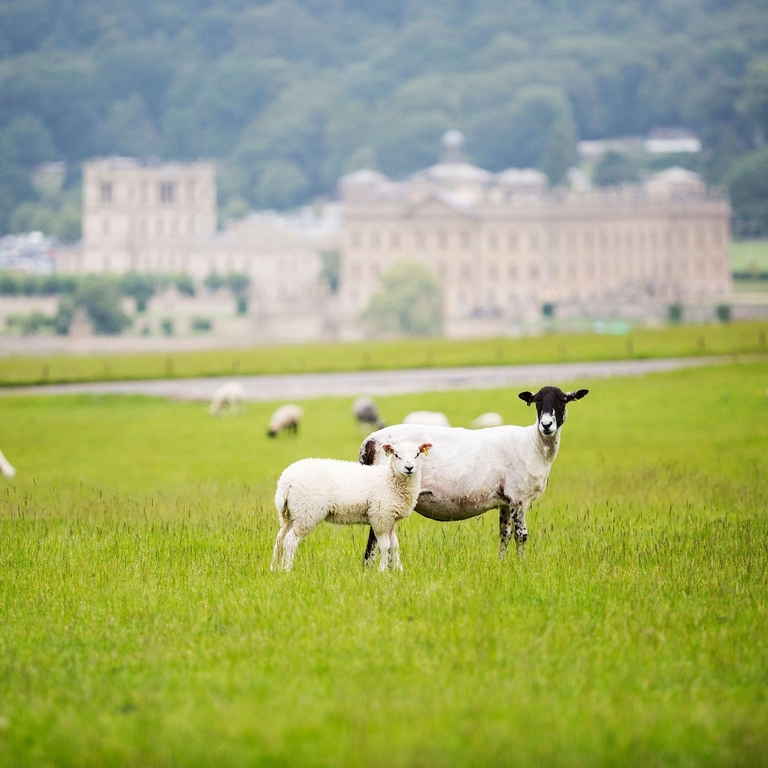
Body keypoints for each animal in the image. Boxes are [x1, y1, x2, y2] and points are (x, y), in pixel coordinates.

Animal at [271, 440, 432, 572]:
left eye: (417, 454)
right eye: (397, 455)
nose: (409, 468)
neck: (389, 478)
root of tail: (286, 480)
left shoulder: (390, 519)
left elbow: (395, 545)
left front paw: (399, 570)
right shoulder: (380, 516)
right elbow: (385, 546)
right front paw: (383, 571)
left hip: (289, 514)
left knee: (280, 538)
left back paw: (275, 568)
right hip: (306, 512)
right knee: (290, 540)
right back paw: (287, 569)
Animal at [359, 386, 589, 561]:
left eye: (563, 401)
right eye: (537, 402)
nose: (546, 425)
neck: (532, 444)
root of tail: (370, 441)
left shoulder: (506, 501)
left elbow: (504, 534)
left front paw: (503, 564)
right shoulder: (519, 497)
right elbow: (521, 535)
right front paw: (522, 564)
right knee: (374, 537)